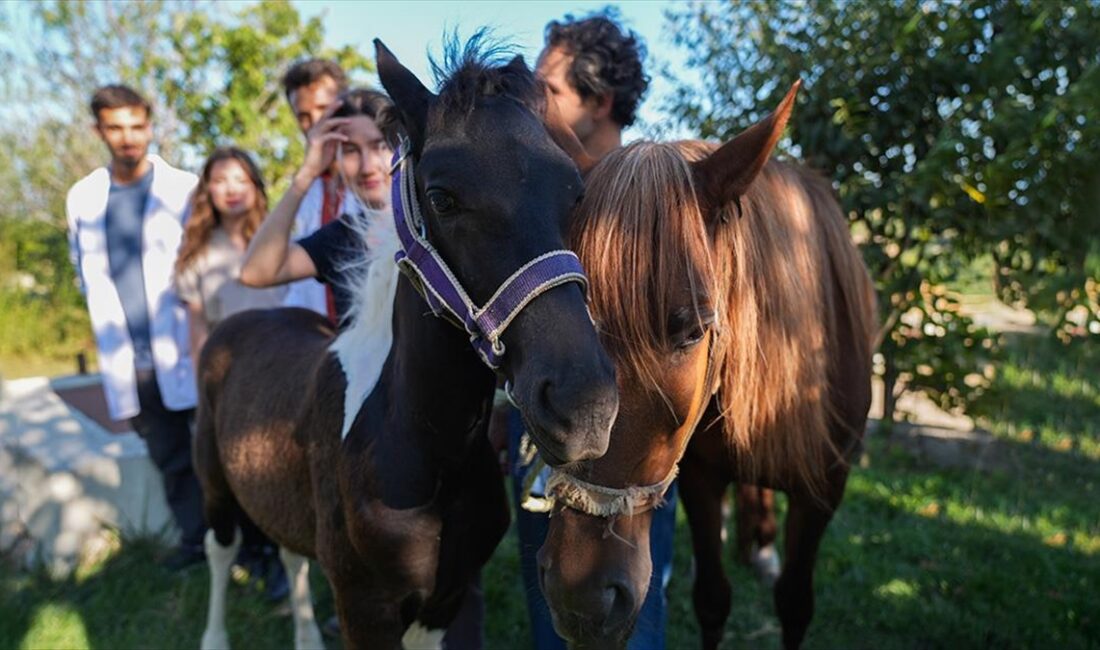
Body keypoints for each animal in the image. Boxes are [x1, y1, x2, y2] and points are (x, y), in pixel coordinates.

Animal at [534, 84, 875, 646]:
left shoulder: (824, 489)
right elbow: (713, 599)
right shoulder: (700, 477)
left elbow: (795, 603)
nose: (579, 597)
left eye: (693, 331)